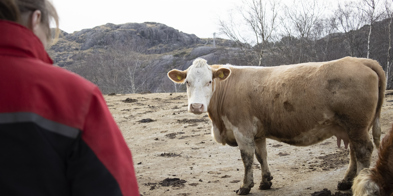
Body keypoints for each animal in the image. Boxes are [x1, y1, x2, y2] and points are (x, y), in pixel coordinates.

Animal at [167, 56, 384, 194]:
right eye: (187, 82)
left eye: (209, 81)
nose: (196, 106)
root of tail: (360, 60)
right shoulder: (258, 133)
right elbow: (261, 155)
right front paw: (265, 182)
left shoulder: (242, 130)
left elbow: (247, 159)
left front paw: (245, 186)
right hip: (352, 127)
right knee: (354, 152)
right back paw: (346, 182)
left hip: (356, 125)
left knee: (363, 151)